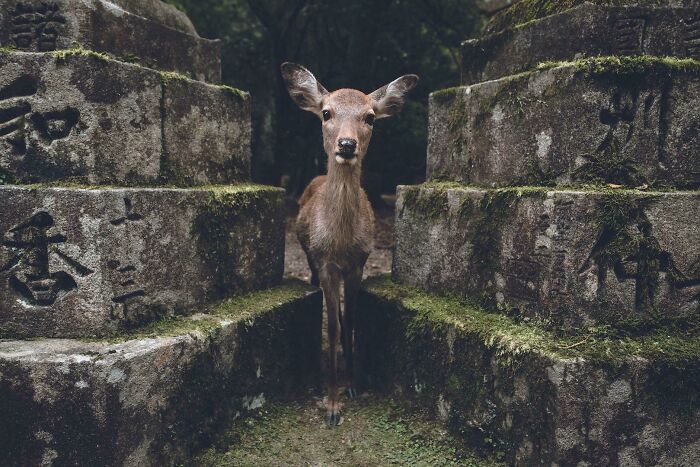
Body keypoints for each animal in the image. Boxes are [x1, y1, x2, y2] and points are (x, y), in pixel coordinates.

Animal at [281, 62, 419, 426]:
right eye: (326, 112)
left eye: (370, 117)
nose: (346, 144)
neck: (340, 242)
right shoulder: (326, 262)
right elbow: (331, 325)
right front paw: (331, 405)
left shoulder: (359, 262)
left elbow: (352, 319)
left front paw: (353, 384)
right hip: (309, 254)